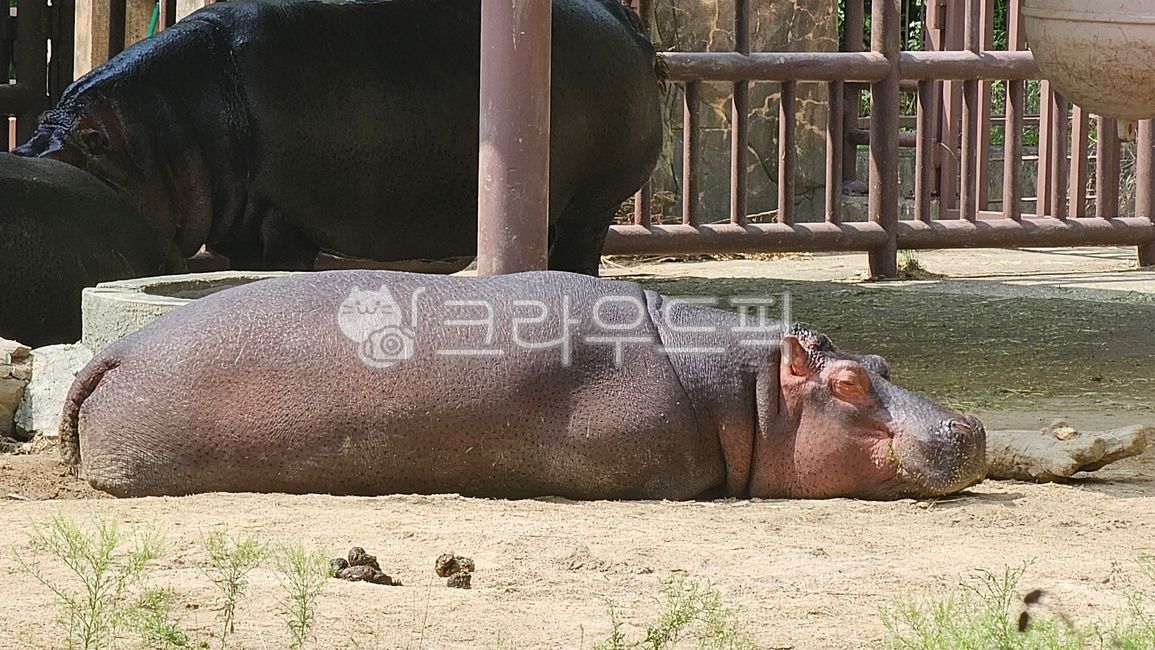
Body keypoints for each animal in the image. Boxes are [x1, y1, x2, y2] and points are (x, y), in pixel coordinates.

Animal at [13, 0, 662, 276]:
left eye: (90, 141)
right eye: (34, 133)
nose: (21, 157)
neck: (169, 126)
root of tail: (624, 18)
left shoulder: (283, 216)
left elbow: (285, 260)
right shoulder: (242, 223)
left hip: (595, 199)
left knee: (579, 248)